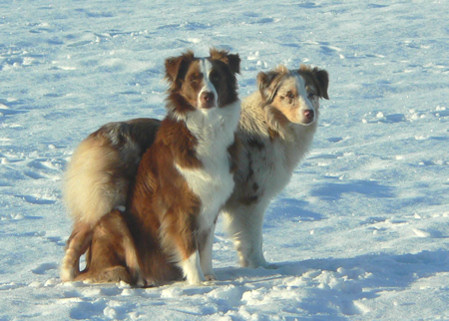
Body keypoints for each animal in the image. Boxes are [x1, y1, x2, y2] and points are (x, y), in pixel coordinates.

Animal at [61, 50, 242, 284]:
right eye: (194, 79)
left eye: (216, 77)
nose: (207, 96)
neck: (206, 127)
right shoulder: (181, 208)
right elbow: (190, 250)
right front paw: (197, 283)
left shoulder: (210, 206)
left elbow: (206, 248)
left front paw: (209, 277)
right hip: (111, 210)